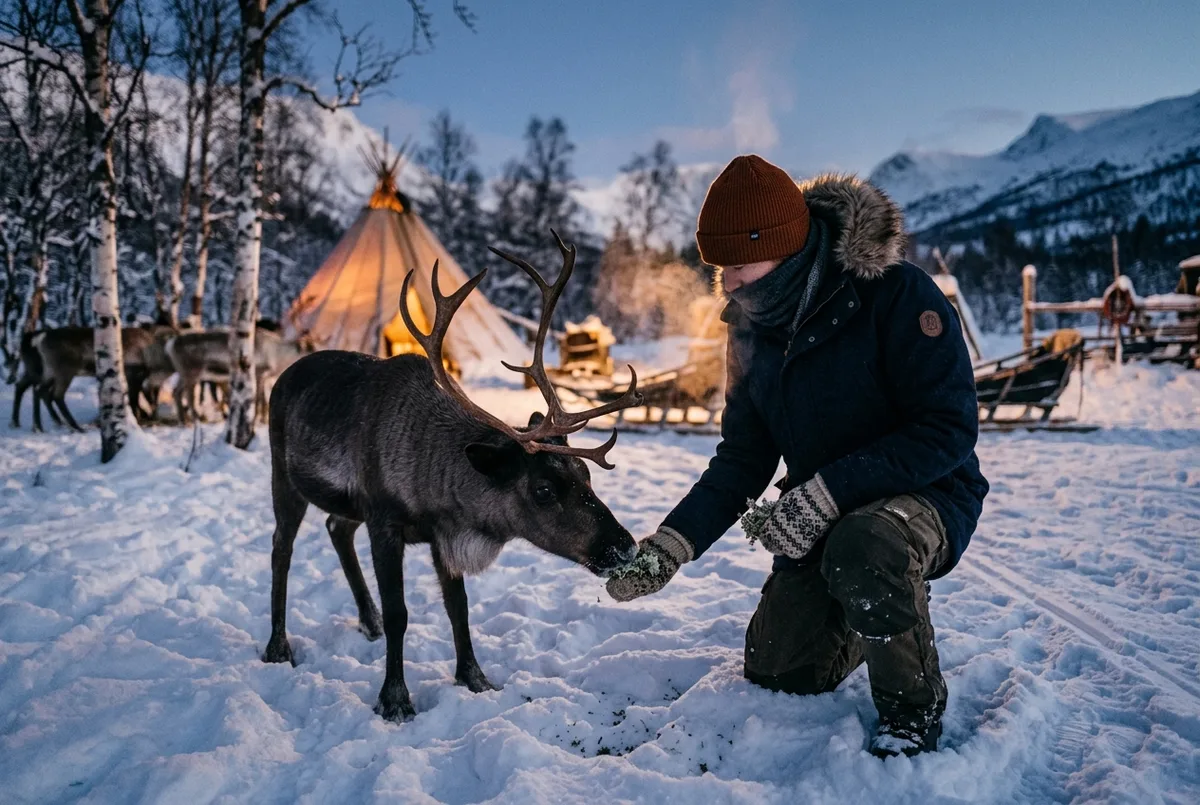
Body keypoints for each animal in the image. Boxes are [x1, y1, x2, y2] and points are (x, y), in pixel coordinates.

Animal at [261, 232, 643, 723]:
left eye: (586, 474)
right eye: (542, 490)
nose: (625, 546)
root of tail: (283, 375)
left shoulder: (443, 534)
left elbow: (458, 607)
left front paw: (475, 678)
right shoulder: (385, 523)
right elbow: (402, 612)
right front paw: (395, 698)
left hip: (346, 505)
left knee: (335, 526)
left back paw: (368, 620)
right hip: (283, 476)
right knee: (281, 549)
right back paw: (278, 645)